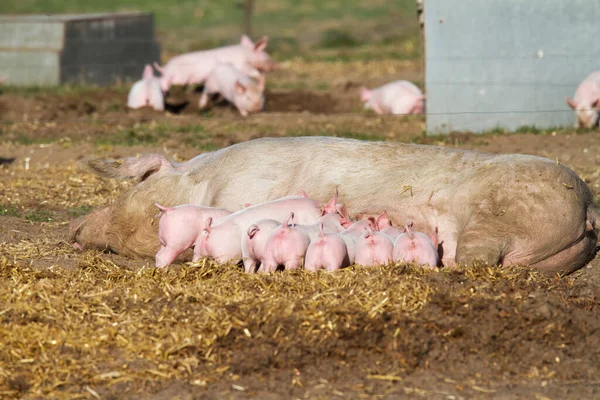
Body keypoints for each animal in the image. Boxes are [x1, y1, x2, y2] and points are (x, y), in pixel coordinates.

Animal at [72, 137, 596, 276]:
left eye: (134, 188)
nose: (73, 229)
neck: (203, 184)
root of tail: (588, 205)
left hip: (497, 214)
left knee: (478, 258)